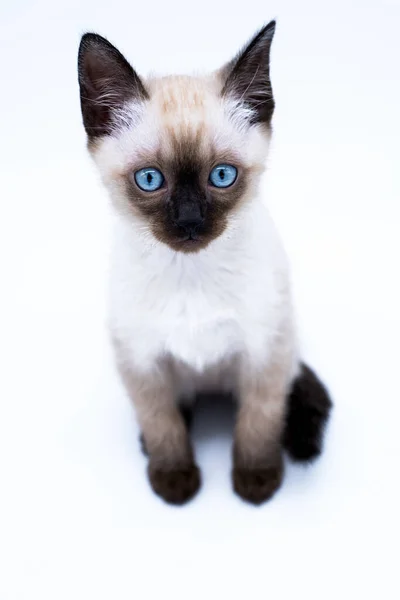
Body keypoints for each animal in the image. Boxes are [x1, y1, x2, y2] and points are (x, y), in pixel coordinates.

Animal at [77, 21, 332, 504]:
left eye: (222, 176)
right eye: (150, 180)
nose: (190, 221)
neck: (189, 274)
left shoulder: (264, 353)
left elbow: (258, 422)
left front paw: (256, 482)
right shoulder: (141, 360)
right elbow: (163, 424)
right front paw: (174, 481)